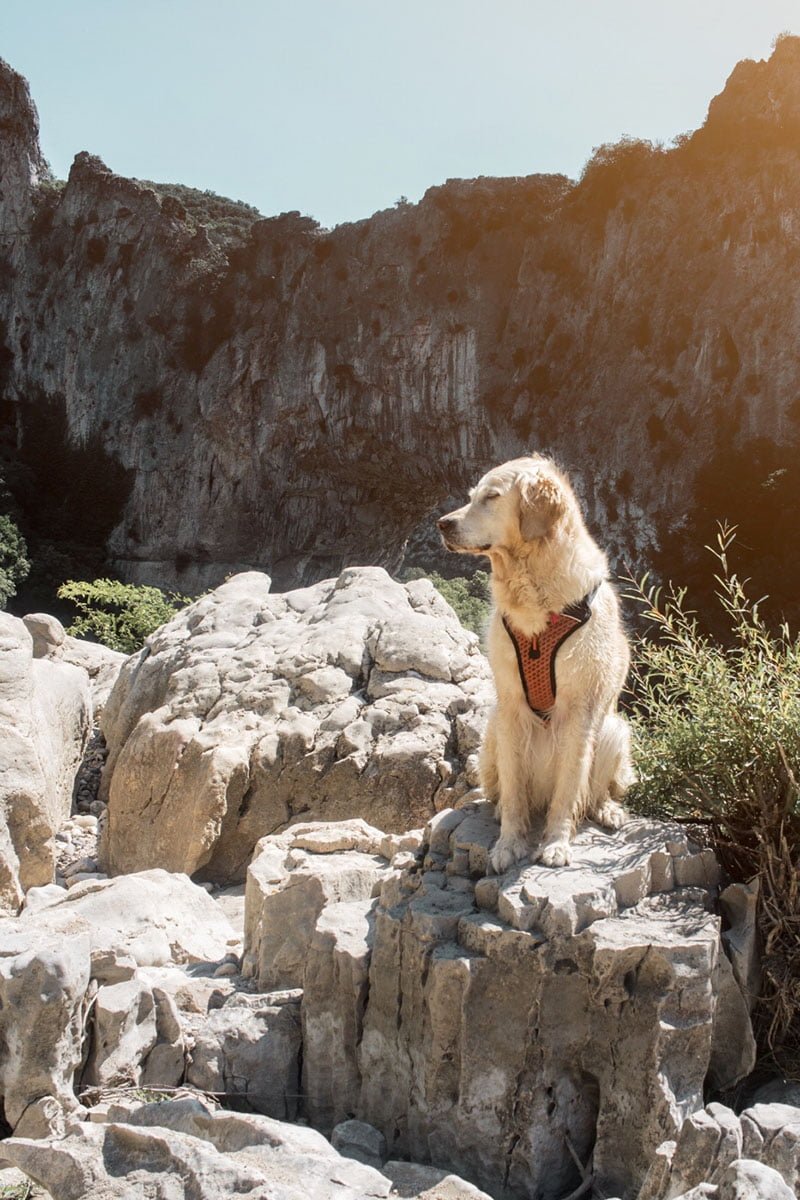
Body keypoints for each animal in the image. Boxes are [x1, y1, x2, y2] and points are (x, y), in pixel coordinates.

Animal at [441, 453, 633, 868]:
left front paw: (556, 843)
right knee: (504, 791)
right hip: (492, 730)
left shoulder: (581, 710)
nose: (443, 524)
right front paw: (508, 843)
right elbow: (514, 791)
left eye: (492, 497)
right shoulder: (511, 705)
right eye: (471, 496)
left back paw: (607, 810)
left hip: (613, 729)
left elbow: (569, 788)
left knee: (594, 792)